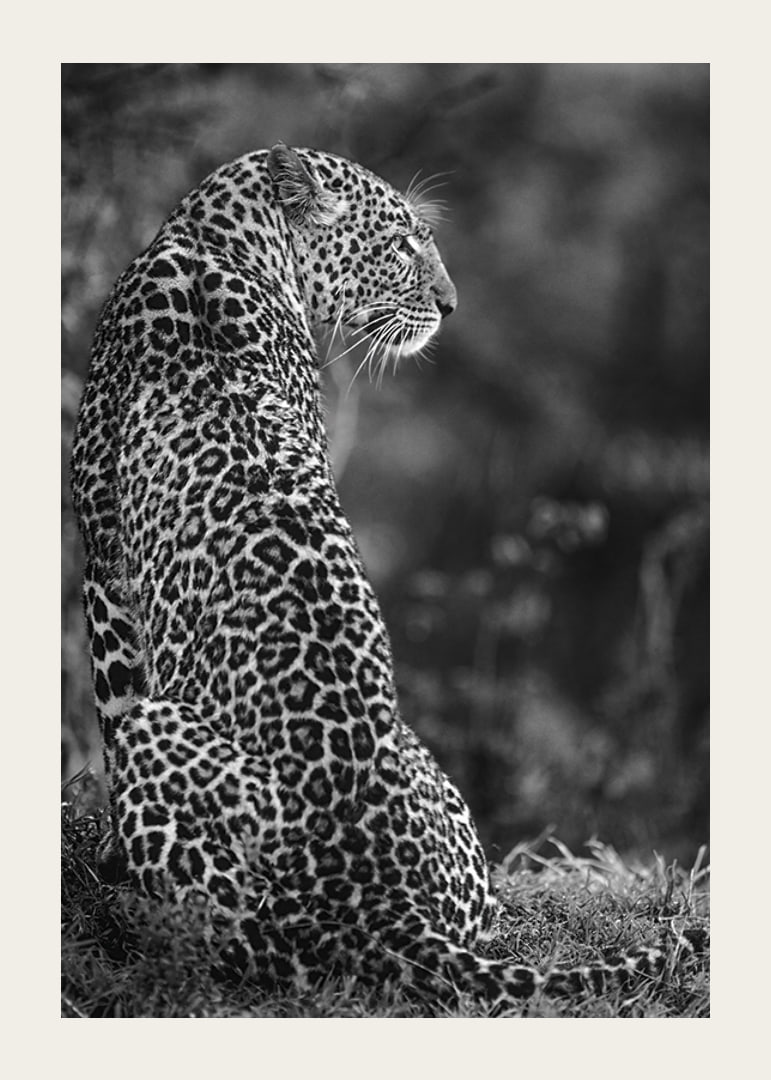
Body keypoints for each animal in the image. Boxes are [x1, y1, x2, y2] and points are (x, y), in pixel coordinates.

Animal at [71, 143, 685, 1012]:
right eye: (399, 244)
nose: (451, 306)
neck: (212, 238)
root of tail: (388, 909)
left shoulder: (103, 561)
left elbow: (111, 701)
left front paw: (109, 856)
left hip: (178, 754)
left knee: (238, 937)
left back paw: (138, 907)